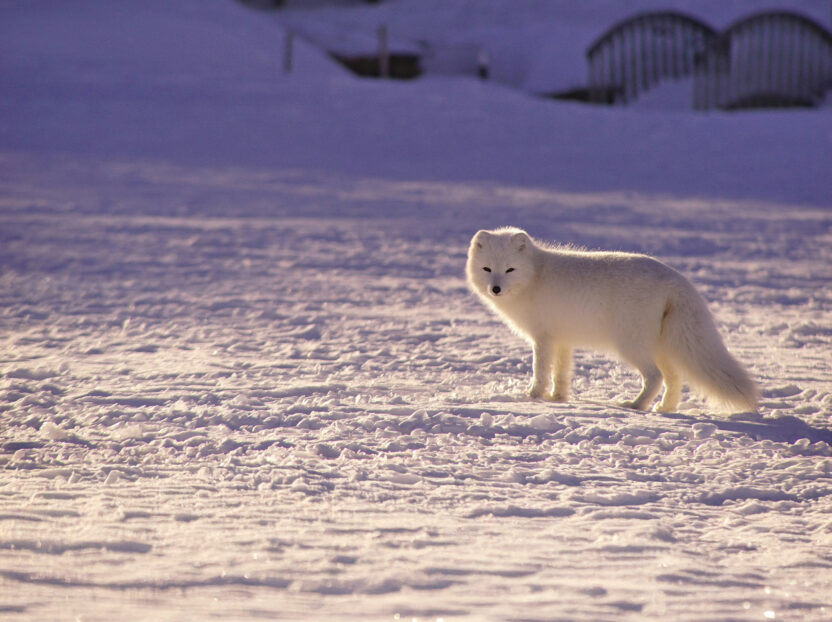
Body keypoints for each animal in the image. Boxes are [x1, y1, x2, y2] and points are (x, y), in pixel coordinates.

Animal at [466, 227, 758, 414]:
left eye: (510, 270)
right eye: (487, 269)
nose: (495, 289)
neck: (535, 276)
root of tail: (677, 280)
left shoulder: (543, 338)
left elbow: (540, 370)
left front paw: (533, 396)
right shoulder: (562, 339)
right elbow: (561, 372)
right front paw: (558, 398)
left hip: (630, 345)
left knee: (655, 377)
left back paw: (636, 405)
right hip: (661, 347)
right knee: (674, 378)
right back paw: (665, 408)